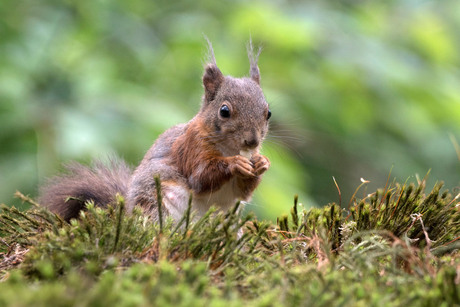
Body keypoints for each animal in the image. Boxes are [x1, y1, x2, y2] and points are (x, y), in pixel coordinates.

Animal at [39, 41, 272, 224]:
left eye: (268, 113)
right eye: (224, 111)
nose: (252, 142)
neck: (229, 148)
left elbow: (243, 192)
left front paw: (262, 163)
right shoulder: (191, 146)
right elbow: (201, 177)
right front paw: (235, 163)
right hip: (153, 203)